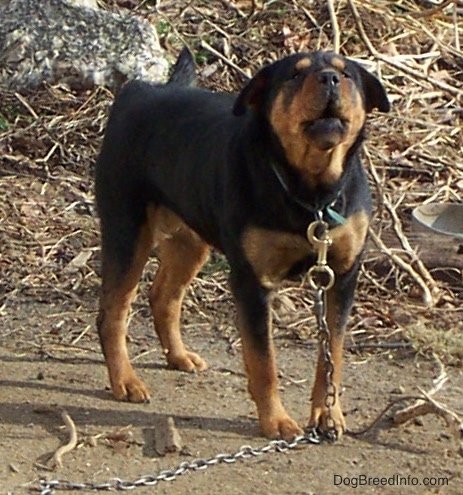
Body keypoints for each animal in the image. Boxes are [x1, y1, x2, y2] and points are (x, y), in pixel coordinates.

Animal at [95, 47, 392, 442]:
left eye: (347, 75)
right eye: (294, 75)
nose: (329, 78)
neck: (312, 191)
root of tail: (139, 91)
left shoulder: (343, 274)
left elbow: (333, 353)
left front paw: (328, 415)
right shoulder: (253, 282)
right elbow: (263, 361)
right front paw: (276, 421)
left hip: (191, 240)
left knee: (164, 297)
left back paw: (179, 356)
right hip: (127, 231)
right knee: (113, 314)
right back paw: (125, 381)